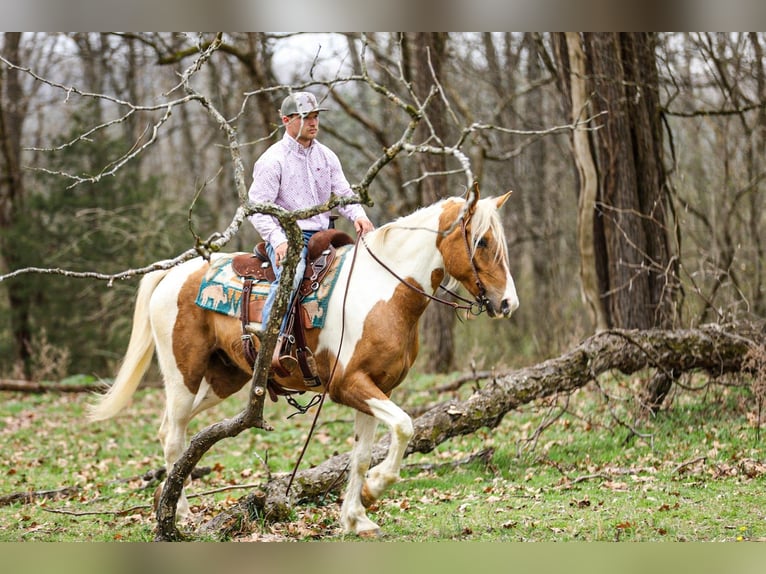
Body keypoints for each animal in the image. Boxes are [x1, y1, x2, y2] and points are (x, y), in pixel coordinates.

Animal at [87, 189, 519, 537]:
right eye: (481, 241)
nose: (507, 303)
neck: (383, 291)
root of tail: (173, 273)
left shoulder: (375, 388)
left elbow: (362, 454)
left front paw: (355, 517)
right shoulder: (350, 385)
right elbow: (404, 426)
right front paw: (375, 488)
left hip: (222, 379)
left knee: (176, 432)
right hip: (183, 375)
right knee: (173, 436)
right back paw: (181, 513)